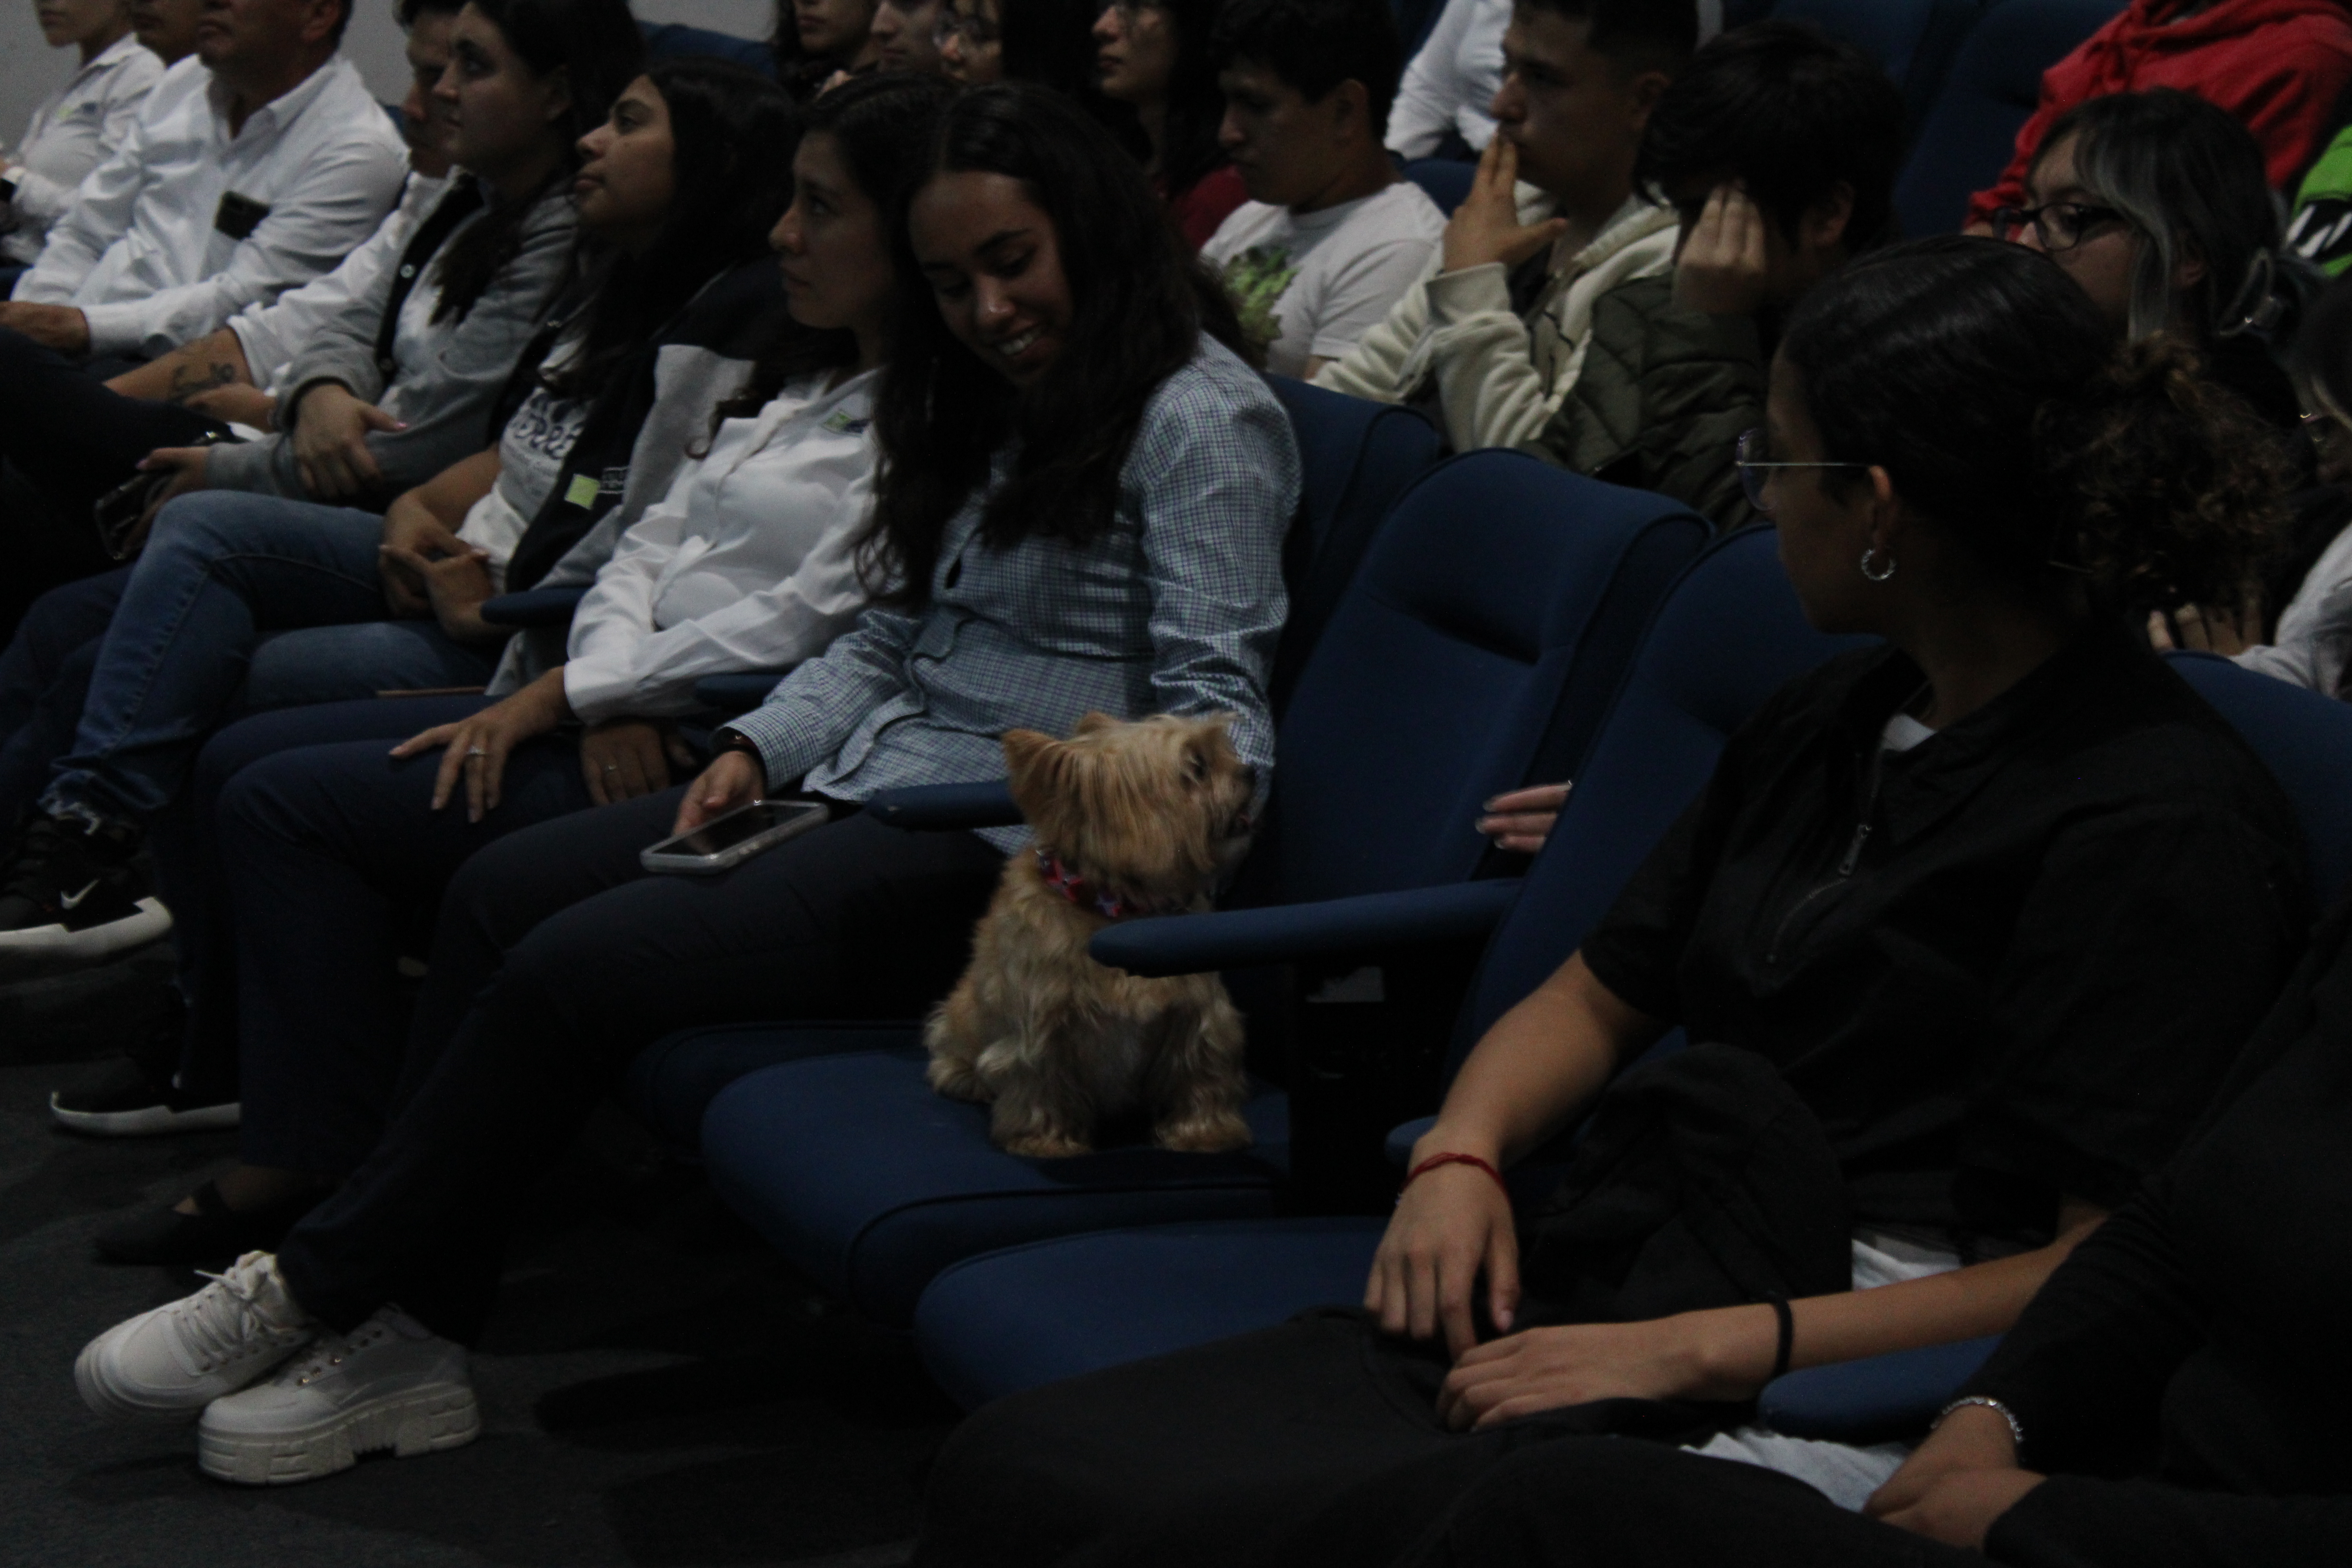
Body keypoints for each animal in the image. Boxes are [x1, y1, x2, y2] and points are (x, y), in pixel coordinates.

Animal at [917, 719, 1261, 1161]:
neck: (1120, 909)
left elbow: (1201, 1074)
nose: (1251, 771)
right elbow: (1042, 1082)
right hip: (961, 1017)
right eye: (1197, 766)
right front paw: (1043, 1140)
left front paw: (1206, 1133)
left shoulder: (1200, 1015)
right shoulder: (1042, 1026)